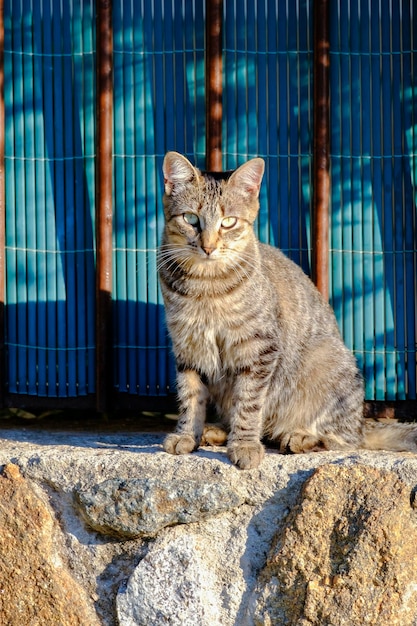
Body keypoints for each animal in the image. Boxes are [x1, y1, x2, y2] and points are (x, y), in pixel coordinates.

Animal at [157, 149, 416, 466]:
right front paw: (186, 435)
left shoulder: (259, 348)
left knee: (343, 439)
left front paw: (244, 444)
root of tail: (361, 424)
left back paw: (300, 436)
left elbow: (249, 403)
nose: (208, 247)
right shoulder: (187, 346)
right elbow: (190, 396)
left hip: (326, 362)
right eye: (191, 218)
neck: (206, 285)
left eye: (228, 222)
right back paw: (216, 431)